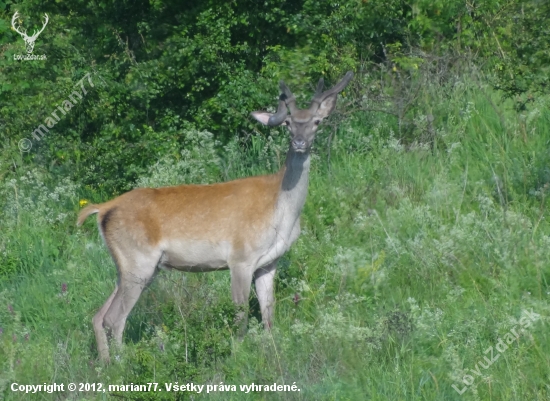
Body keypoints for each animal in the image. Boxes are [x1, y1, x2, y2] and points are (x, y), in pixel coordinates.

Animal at [77, 70, 354, 360]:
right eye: (288, 123)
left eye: (317, 121)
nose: (300, 143)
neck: (280, 212)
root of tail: (103, 208)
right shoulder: (240, 257)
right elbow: (240, 315)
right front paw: (239, 354)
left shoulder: (269, 262)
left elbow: (269, 313)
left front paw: (272, 352)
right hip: (138, 261)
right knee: (115, 318)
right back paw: (123, 364)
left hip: (132, 267)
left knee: (98, 316)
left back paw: (106, 364)